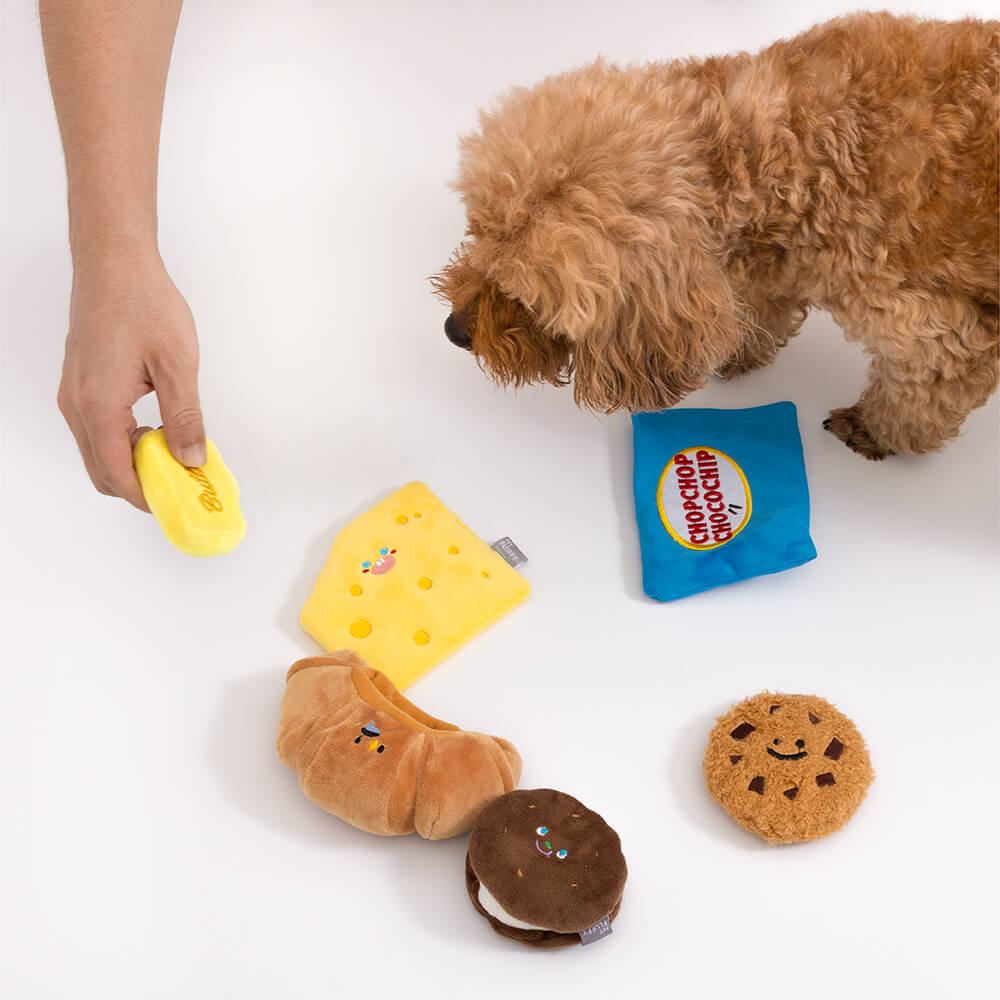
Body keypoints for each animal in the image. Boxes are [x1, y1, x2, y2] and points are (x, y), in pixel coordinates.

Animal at [432, 13, 1000, 458]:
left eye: (529, 296)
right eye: (478, 234)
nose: (453, 331)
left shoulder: (935, 331)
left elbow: (921, 391)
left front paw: (880, 430)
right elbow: (762, 304)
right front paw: (742, 347)